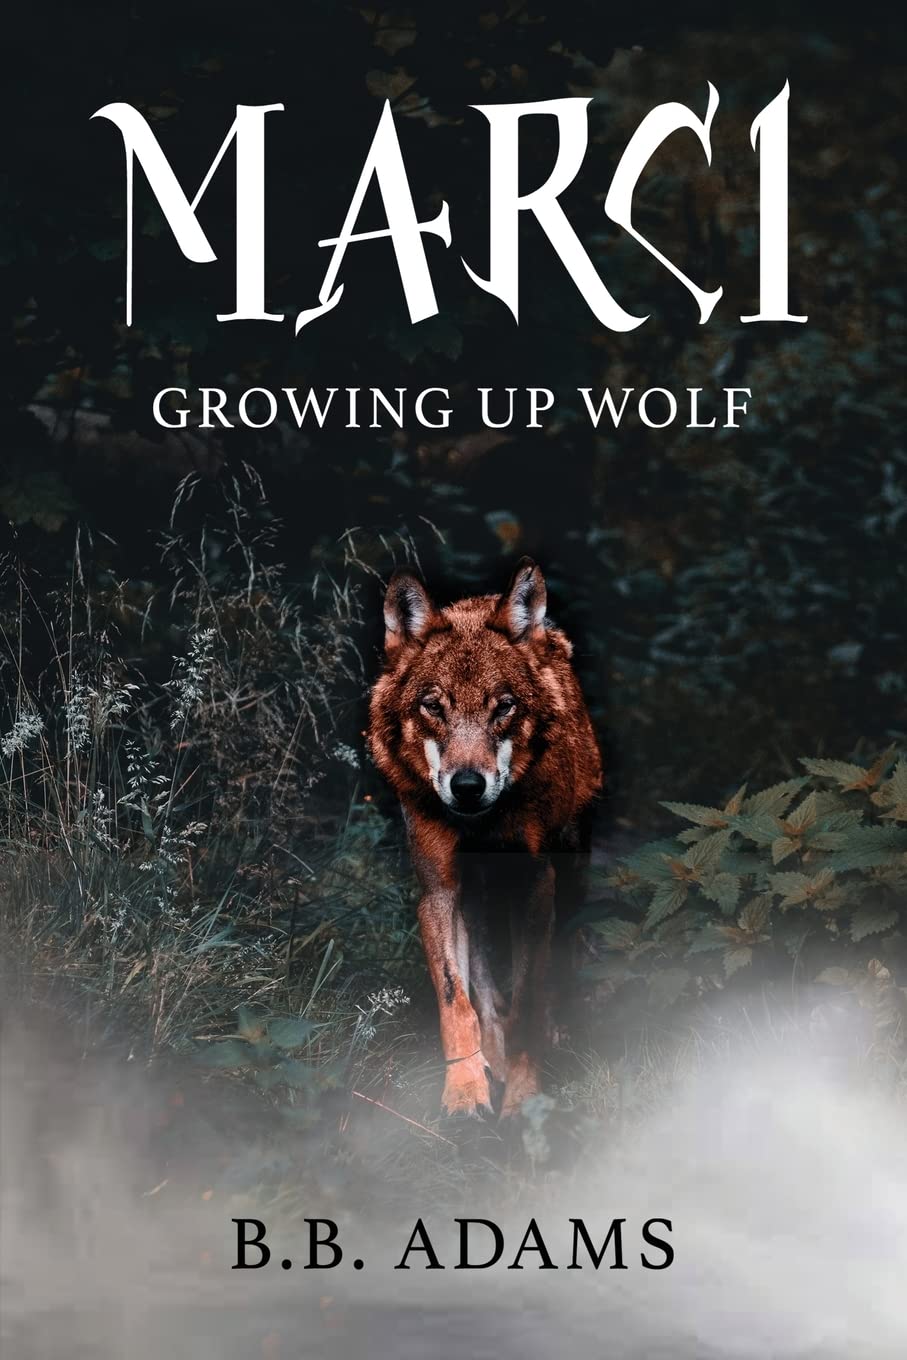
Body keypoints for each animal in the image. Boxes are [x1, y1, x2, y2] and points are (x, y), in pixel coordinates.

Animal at [368, 559, 602, 1118]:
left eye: (504, 707)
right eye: (434, 707)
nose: (468, 786)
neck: (482, 827)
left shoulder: (535, 885)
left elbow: (529, 995)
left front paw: (523, 1095)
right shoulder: (438, 893)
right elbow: (458, 1003)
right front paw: (465, 1090)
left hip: (571, 868)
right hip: (472, 899)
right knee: (482, 985)